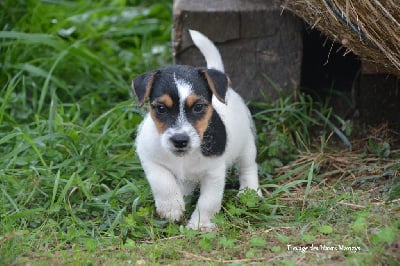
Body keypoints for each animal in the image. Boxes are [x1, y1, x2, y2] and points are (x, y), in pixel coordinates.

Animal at [133, 28, 260, 229]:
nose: (180, 140)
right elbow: (162, 182)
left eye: (199, 107)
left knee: (248, 167)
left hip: (246, 146)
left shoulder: (214, 173)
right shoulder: (149, 158)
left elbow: (208, 201)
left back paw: (250, 190)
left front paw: (199, 225)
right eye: (161, 108)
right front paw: (171, 207)